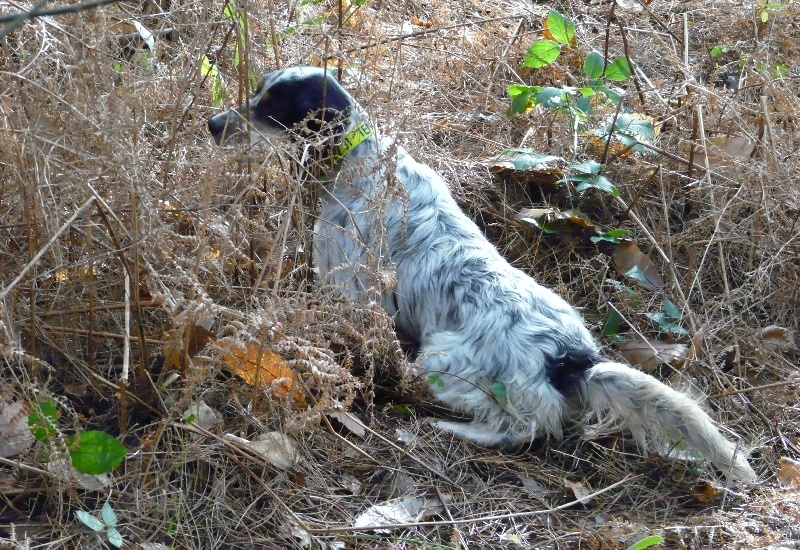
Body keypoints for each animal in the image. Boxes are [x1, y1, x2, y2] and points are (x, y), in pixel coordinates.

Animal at [208, 66, 757, 482]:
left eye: (270, 106)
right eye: (257, 92)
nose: (213, 123)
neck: (362, 160)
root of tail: (572, 359)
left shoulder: (350, 291)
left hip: (440, 360)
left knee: (525, 428)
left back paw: (455, 429)